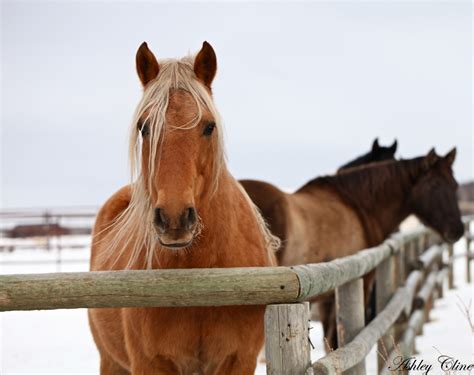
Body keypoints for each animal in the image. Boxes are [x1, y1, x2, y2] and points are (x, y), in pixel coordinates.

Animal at [89, 41, 278, 375]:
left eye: (209, 126)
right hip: (110, 361)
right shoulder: (150, 363)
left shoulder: (239, 359)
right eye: (144, 127)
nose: (174, 218)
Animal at [241, 148, 462, 352]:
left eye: (455, 185)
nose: (457, 229)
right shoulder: (359, 284)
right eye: (434, 185)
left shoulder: (328, 296)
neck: (357, 206)